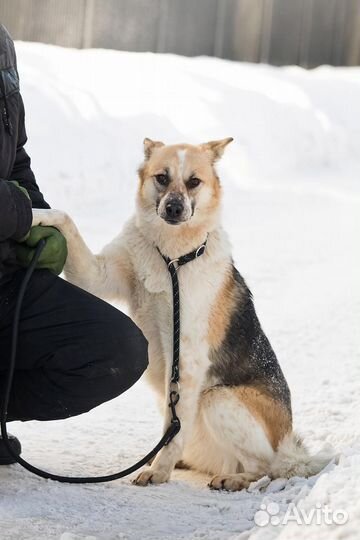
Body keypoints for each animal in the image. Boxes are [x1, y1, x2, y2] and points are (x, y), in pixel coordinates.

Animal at [32, 138, 334, 490]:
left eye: (194, 182)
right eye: (162, 178)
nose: (174, 209)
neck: (171, 257)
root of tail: (287, 447)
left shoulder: (187, 357)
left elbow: (172, 429)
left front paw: (159, 470)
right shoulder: (97, 275)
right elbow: (64, 217)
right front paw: (34, 214)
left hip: (216, 400)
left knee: (263, 467)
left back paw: (233, 478)